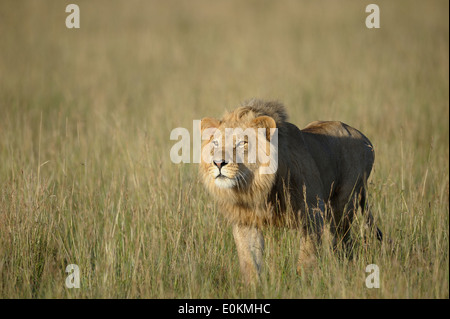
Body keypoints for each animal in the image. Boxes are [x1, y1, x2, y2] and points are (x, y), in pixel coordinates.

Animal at [199, 99, 382, 282]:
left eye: (241, 143)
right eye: (215, 144)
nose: (218, 163)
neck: (257, 189)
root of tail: (363, 137)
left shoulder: (313, 213)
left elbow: (307, 256)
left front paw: (304, 282)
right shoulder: (245, 221)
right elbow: (250, 261)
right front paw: (254, 285)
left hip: (343, 205)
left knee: (343, 241)